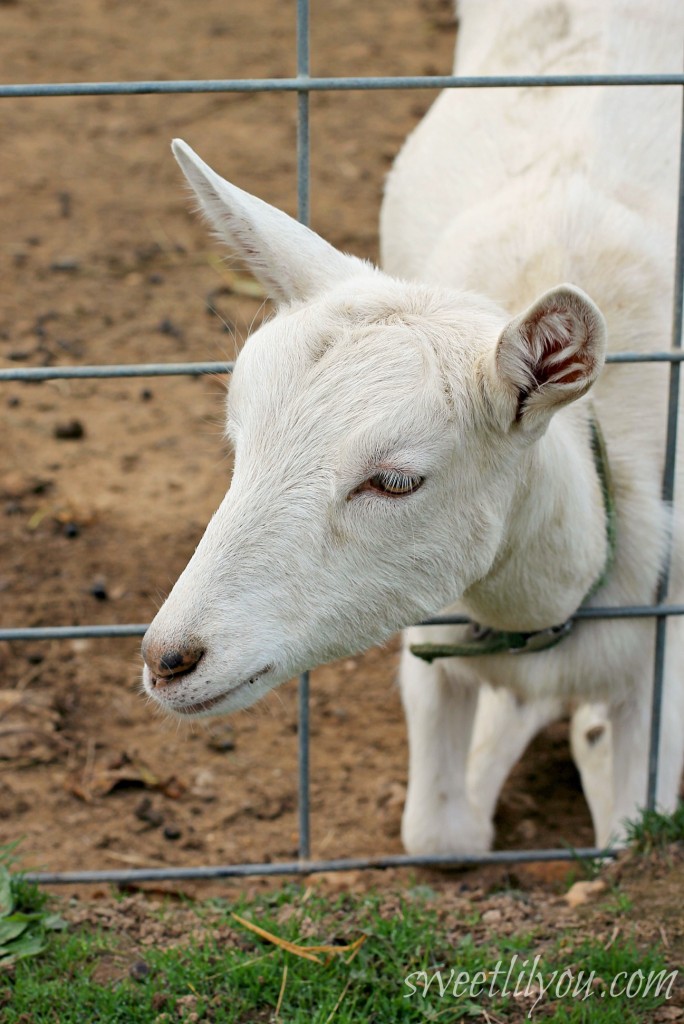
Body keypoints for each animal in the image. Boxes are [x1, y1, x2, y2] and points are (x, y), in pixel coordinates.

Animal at [142, 0, 684, 853]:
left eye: (395, 480)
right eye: (238, 444)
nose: (170, 659)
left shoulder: (667, 651)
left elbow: (633, 832)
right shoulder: (432, 628)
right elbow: (440, 835)